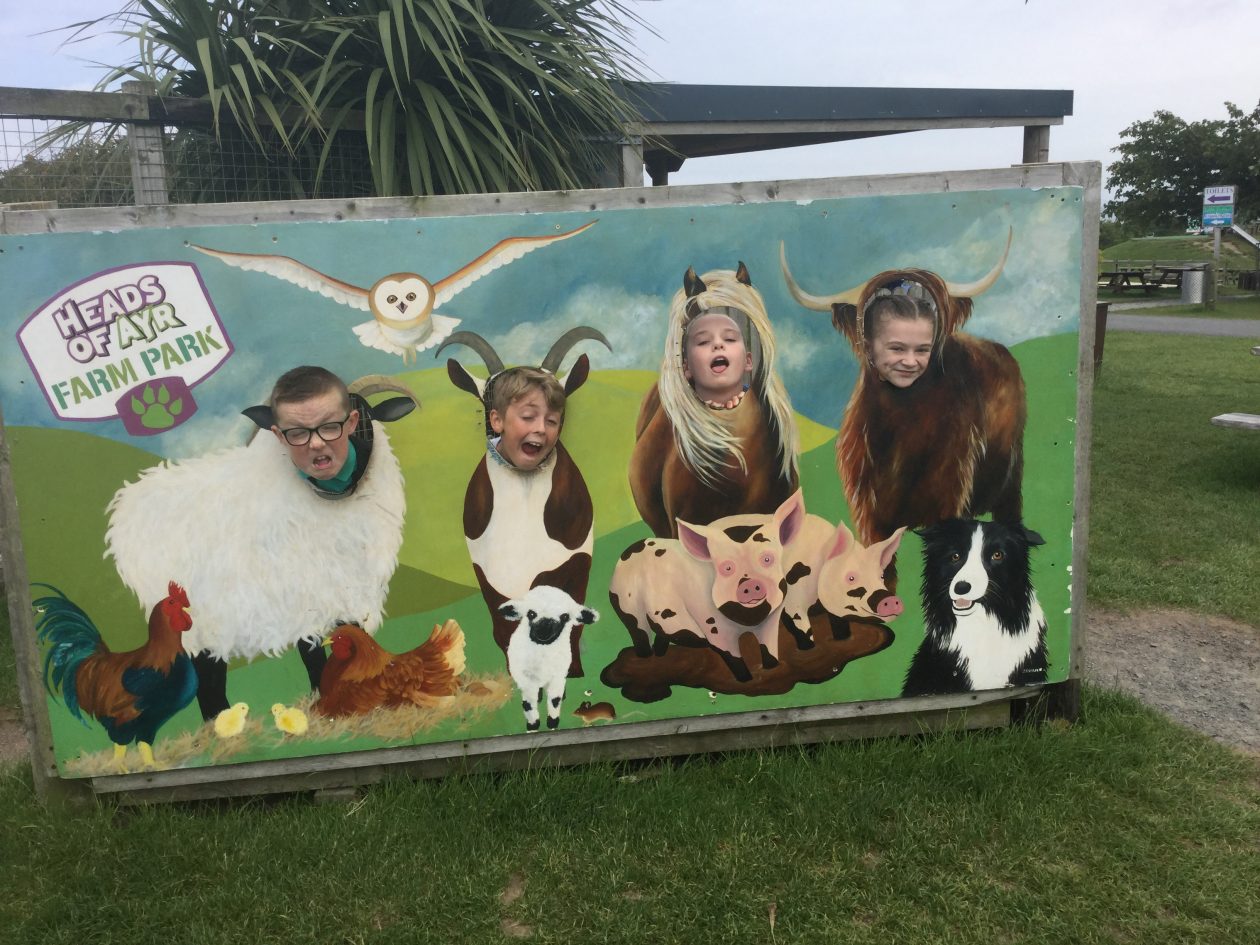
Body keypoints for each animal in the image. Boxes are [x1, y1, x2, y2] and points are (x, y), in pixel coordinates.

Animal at [439, 327, 609, 677]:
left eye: (555, 416)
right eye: (486, 403)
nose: (540, 432)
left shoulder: (574, 564)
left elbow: (572, 624)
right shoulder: (488, 579)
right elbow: (502, 630)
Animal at [780, 231, 1026, 556]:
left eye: (924, 347)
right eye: (895, 347)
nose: (909, 366)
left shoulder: (947, 498)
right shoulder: (870, 516)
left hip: (1010, 484)